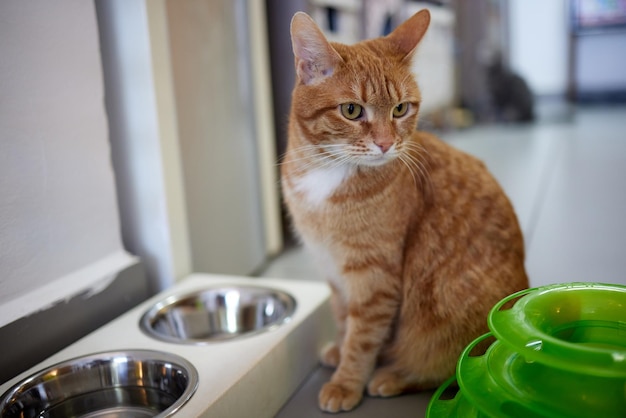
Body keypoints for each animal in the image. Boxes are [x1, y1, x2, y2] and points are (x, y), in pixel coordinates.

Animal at [280, 9, 528, 412]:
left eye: (400, 109)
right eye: (351, 110)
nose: (385, 144)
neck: (326, 173)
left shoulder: (374, 277)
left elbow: (362, 338)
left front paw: (346, 382)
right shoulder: (334, 272)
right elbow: (344, 320)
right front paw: (339, 351)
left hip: (443, 324)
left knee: (449, 369)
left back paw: (392, 377)